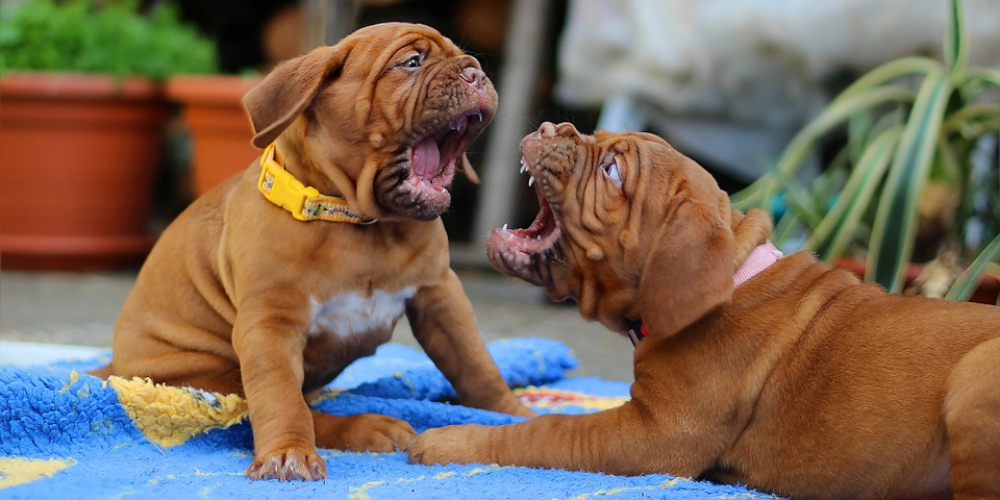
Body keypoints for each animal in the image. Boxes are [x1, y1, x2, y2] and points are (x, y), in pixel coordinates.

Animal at [89, 23, 533, 481]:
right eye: (411, 63)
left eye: (467, 59)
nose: (475, 72)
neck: (360, 223)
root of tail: (114, 367)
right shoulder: (270, 322)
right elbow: (280, 396)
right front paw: (288, 452)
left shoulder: (440, 295)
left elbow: (476, 364)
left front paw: (514, 414)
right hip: (204, 374)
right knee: (264, 408)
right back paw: (366, 426)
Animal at [408, 122, 1000, 499]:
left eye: (612, 170)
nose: (551, 124)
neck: (731, 276)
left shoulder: (653, 436)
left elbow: (544, 433)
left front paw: (448, 441)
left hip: (976, 375)